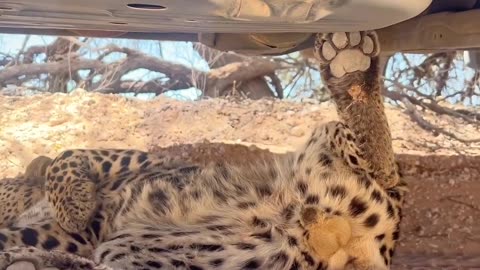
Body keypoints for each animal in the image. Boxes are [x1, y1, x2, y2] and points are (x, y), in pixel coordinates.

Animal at [0, 30, 404, 268]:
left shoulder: (140, 160)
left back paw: (351, 66)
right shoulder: (66, 236)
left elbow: (70, 156)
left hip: (327, 149)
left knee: (383, 167)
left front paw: (73, 205)